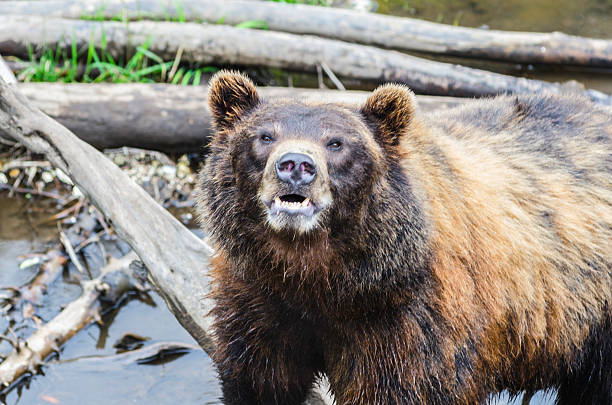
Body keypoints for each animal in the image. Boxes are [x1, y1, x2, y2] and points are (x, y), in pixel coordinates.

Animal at [197, 71, 612, 402]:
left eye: (337, 142)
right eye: (265, 136)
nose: (296, 165)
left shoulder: (408, 321)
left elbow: (403, 387)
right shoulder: (258, 296)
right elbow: (259, 378)